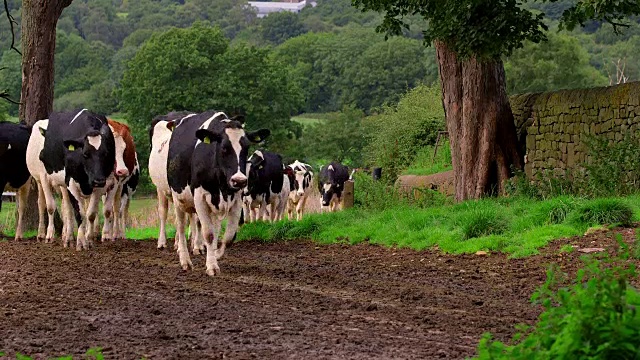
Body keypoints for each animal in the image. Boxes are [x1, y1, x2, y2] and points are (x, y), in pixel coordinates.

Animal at [39, 109, 115, 250]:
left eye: (106, 154)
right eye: (85, 154)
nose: (98, 180)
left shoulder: (100, 185)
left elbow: (90, 214)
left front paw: (89, 240)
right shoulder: (70, 183)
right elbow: (79, 214)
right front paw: (81, 242)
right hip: (58, 182)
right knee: (68, 210)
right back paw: (68, 238)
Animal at [166, 110, 268, 276]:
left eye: (246, 148)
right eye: (224, 148)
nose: (239, 180)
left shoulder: (236, 199)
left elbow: (229, 235)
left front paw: (216, 254)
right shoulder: (200, 197)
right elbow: (209, 234)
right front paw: (212, 266)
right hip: (178, 199)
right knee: (180, 227)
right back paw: (185, 261)